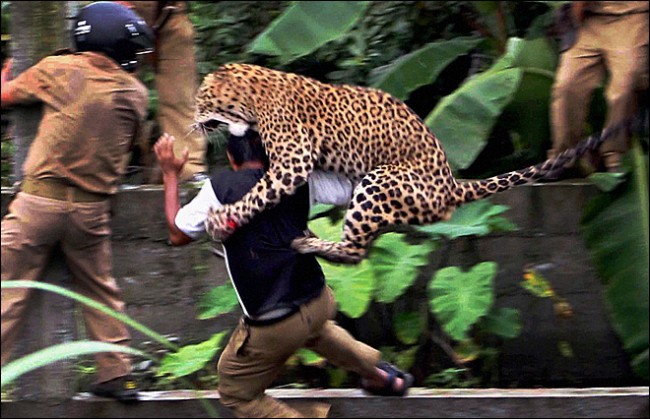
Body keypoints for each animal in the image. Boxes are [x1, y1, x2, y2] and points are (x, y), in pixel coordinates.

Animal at [193, 63, 618, 264]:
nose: (192, 120)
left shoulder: (293, 161)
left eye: (200, 99)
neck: (250, 96)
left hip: (379, 180)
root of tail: (451, 184)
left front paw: (221, 218)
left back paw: (310, 242)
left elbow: (258, 192)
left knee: (356, 250)